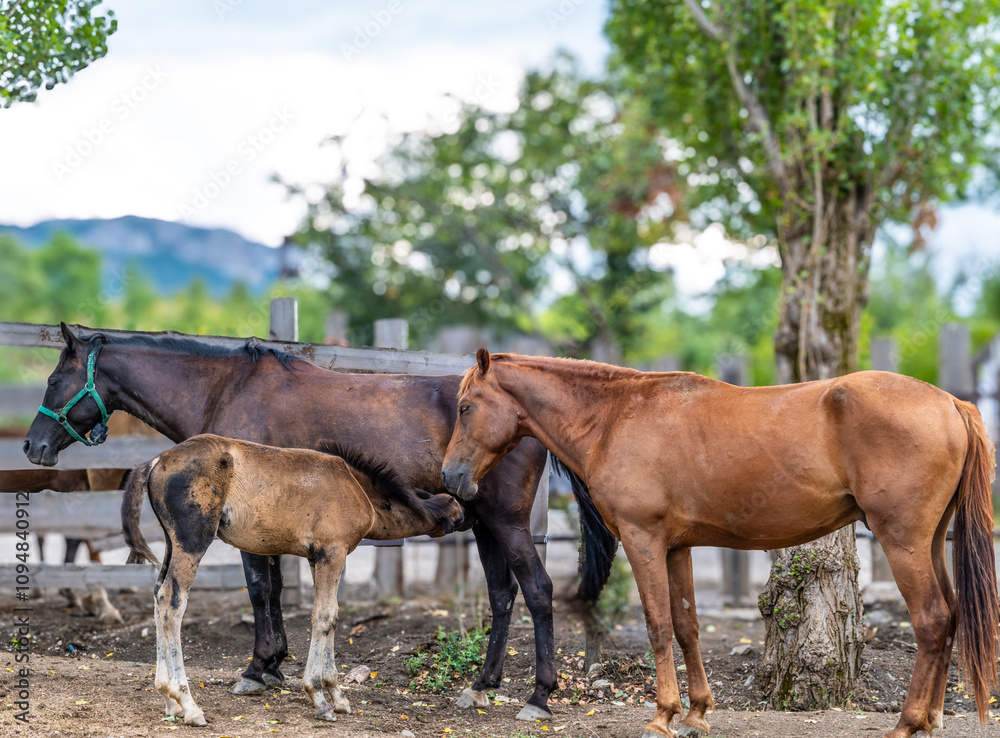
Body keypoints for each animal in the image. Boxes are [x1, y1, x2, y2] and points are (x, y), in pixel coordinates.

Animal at [121, 433, 464, 726]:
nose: (465, 517)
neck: (356, 486)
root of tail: (156, 461)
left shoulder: (318, 558)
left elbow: (332, 617)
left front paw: (337, 695)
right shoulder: (333, 552)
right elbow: (323, 617)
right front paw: (320, 698)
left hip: (172, 544)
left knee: (157, 596)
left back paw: (169, 701)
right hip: (192, 543)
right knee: (172, 603)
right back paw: (188, 703)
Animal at [441, 350, 998, 738]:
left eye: (465, 407)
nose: (450, 477)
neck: (616, 418)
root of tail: (951, 402)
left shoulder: (644, 541)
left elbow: (659, 625)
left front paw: (662, 716)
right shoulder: (676, 548)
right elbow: (687, 626)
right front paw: (695, 713)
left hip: (901, 540)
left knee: (932, 620)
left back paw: (908, 722)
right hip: (928, 542)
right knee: (950, 614)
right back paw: (931, 719)